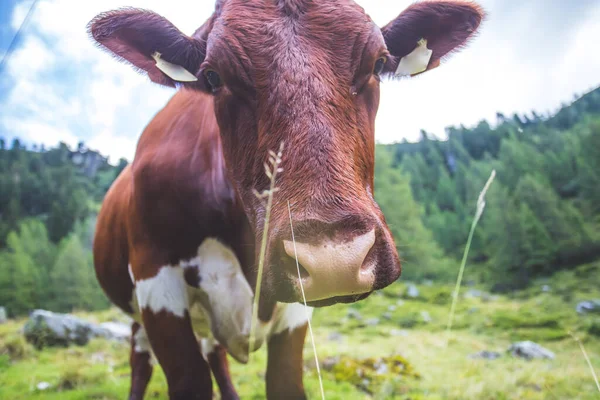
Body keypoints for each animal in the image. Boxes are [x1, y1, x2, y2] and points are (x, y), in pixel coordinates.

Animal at [89, 0, 482, 400]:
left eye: (377, 64)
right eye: (213, 77)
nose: (333, 260)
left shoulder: (296, 316)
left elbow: (284, 380)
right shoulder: (156, 283)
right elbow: (189, 380)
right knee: (142, 360)